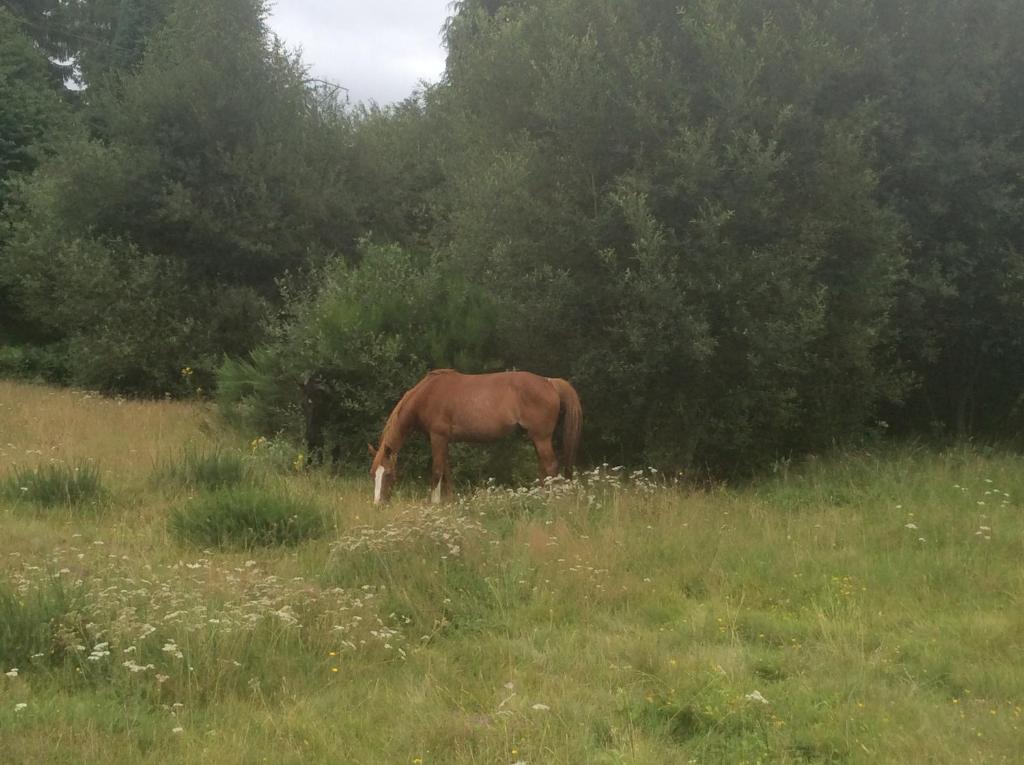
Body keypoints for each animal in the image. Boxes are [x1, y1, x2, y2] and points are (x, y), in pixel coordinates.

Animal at [368, 368, 581, 501]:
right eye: (373, 473)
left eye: (388, 474)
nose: (378, 504)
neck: (427, 394)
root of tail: (549, 382)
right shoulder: (443, 440)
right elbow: (446, 472)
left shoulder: (438, 437)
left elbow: (437, 472)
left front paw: (434, 503)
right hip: (536, 439)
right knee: (543, 468)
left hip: (541, 437)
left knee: (551, 466)